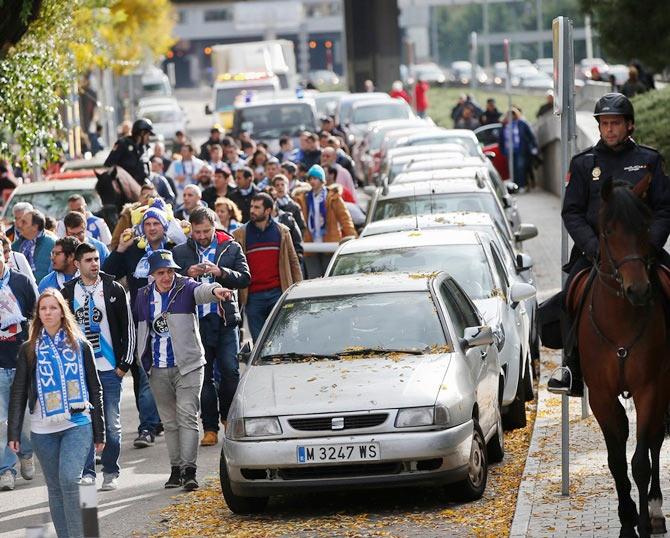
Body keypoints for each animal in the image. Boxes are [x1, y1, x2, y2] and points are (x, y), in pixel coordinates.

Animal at [576, 174, 668, 532]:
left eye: (644, 227)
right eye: (608, 231)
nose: (638, 289)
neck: (620, 321)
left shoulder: (649, 389)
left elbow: (640, 461)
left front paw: (641, 520)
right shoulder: (601, 396)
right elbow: (616, 461)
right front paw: (627, 522)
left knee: (654, 440)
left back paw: (655, 509)